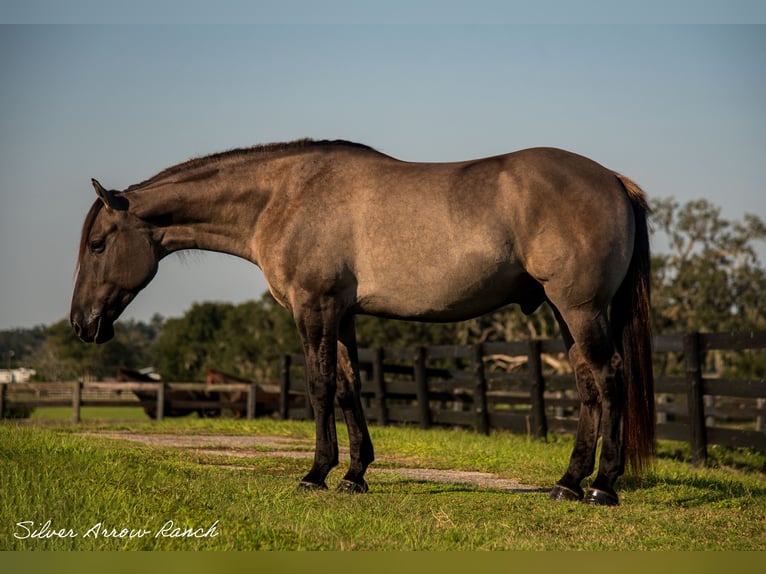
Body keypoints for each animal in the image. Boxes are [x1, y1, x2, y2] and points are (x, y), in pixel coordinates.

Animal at [70, 140, 656, 508]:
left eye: (98, 244)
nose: (81, 323)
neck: (284, 196)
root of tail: (613, 180)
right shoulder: (342, 314)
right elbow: (349, 387)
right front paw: (354, 475)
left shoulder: (314, 307)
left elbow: (319, 385)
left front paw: (315, 473)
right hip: (565, 312)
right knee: (587, 385)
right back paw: (568, 483)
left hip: (580, 308)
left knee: (609, 377)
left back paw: (603, 487)